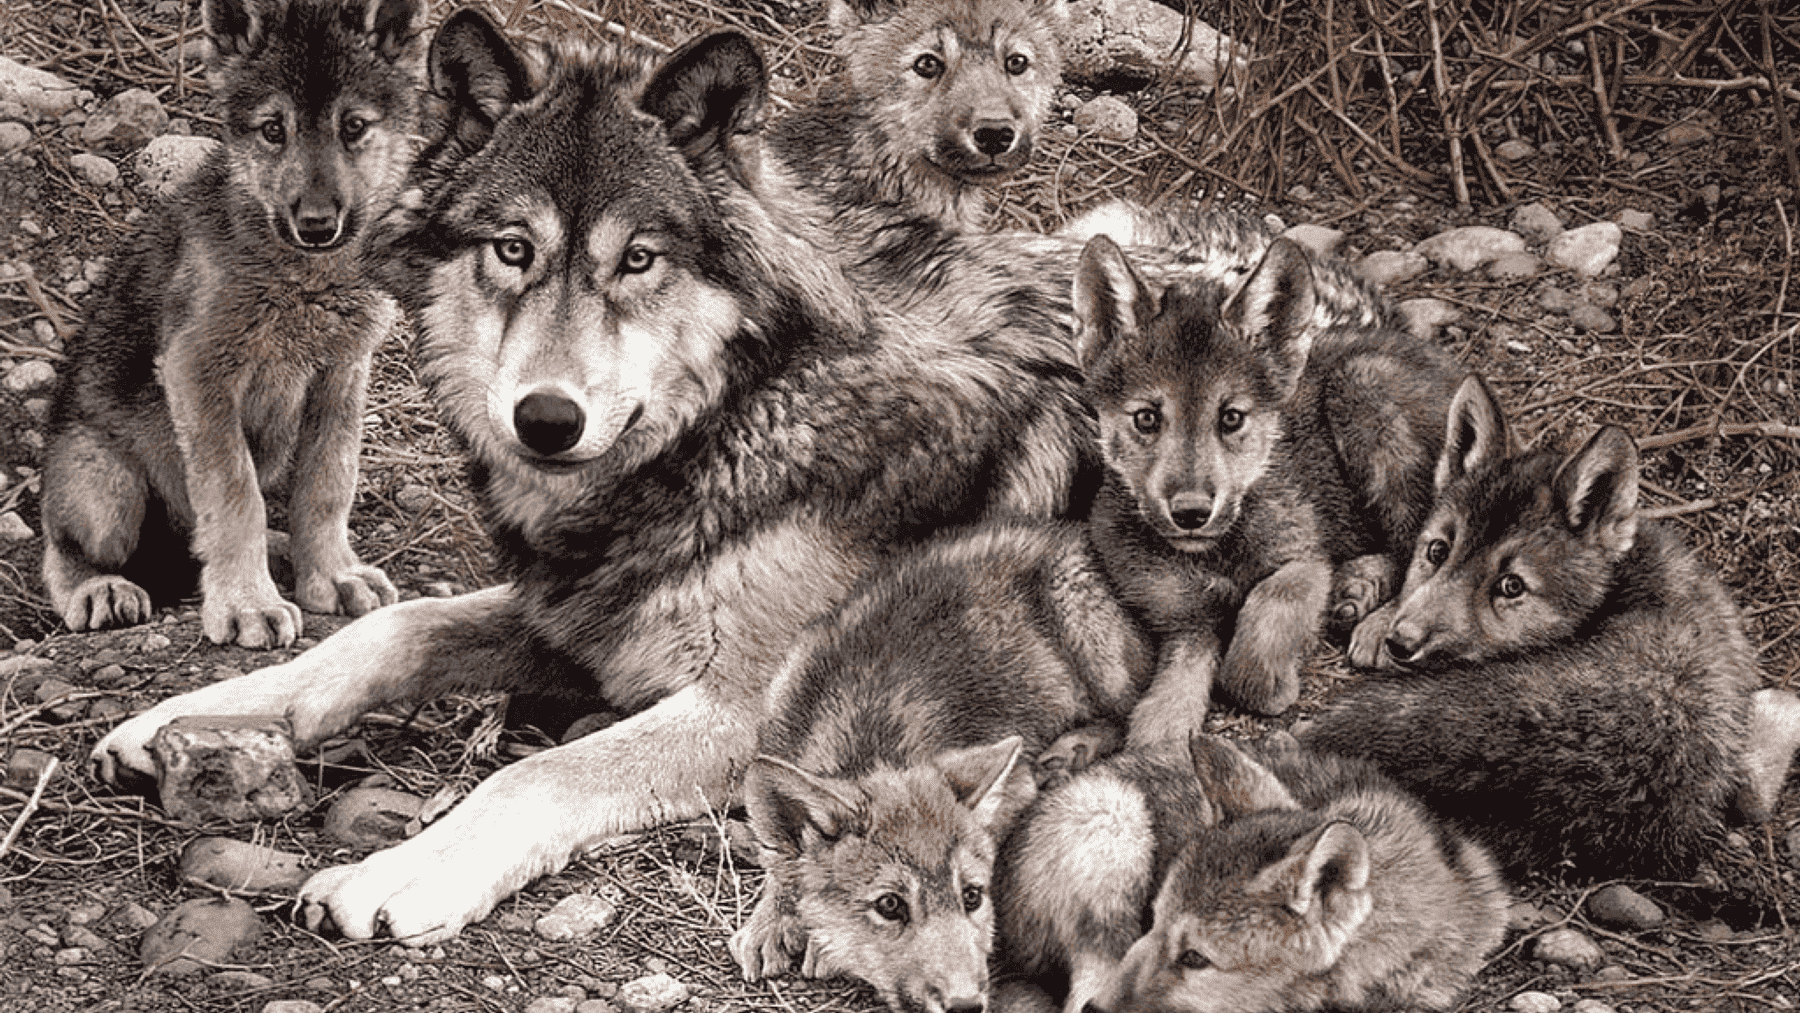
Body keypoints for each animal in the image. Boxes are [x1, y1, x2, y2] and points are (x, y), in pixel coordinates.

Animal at [40, 0, 415, 647]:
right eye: (272, 130)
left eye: (353, 127)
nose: (317, 225)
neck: (304, 279)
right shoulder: (198, 371)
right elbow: (234, 497)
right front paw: (246, 604)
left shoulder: (342, 373)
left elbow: (328, 484)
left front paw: (331, 574)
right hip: (105, 488)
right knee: (65, 550)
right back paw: (101, 588)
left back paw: (277, 552)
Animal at [730, 521, 1153, 1013]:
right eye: (890, 905)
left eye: (972, 896)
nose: (966, 1005)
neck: (865, 735)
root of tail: (1066, 532)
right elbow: (779, 864)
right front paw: (770, 921)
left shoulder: (1016, 784)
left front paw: (819, 945)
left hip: (1090, 636)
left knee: (1129, 713)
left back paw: (1071, 751)